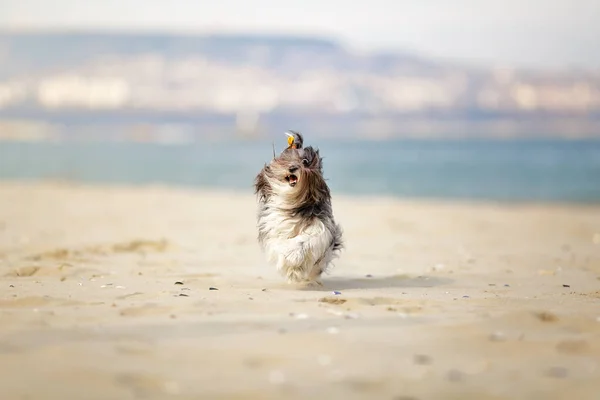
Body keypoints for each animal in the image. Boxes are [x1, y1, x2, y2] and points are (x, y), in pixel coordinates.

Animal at [253, 131, 342, 284]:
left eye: (305, 161)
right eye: (285, 160)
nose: (292, 168)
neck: (293, 201)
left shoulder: (320, 226)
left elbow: (305, 241)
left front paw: (293, 255)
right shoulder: (274, 226)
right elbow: (279, 243)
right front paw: (290, 266)